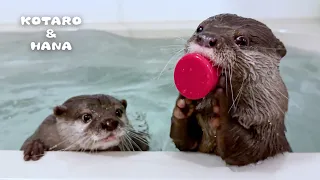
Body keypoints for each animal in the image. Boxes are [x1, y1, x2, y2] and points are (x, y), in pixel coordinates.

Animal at [170, 13, 292, 167]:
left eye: (242, 40)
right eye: (200, 28)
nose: (206, 38)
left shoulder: (269, 132)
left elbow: (249, 150)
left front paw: (223, 108)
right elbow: (187, 144)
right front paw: (183, 104)